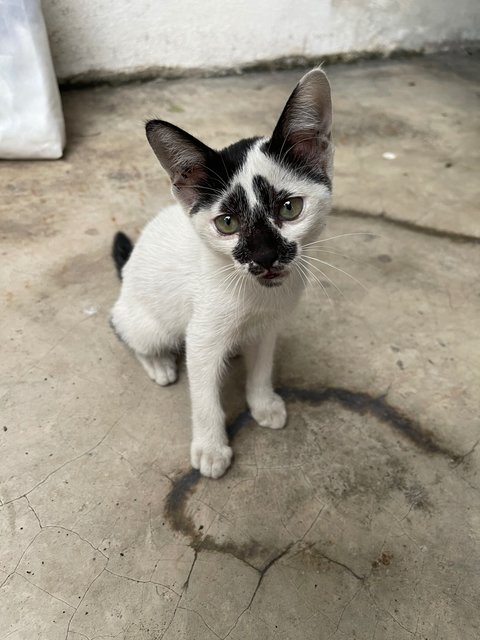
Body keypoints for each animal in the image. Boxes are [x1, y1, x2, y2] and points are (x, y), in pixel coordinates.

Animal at [111, 69, 334, 480]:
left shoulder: (269, 326)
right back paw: (159, 363)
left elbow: (261, 367)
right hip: (146, 324)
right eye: (227, 223)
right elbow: (204, 398)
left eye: (290, 208)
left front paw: (262, 403)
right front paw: (211, 448)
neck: (258, 295)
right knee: (127, 332)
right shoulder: (201, 339)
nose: (265, 257)